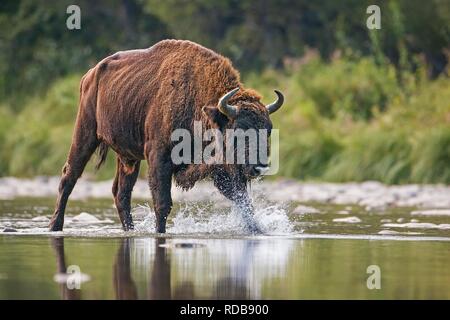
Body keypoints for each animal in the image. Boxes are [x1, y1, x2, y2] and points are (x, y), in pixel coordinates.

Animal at [49, 40, 284, 234]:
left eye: (268, 130)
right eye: (238, 130)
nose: (260, 167)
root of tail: (90, 75)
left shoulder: (222, 168)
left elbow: (243, 202)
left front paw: (258, 230)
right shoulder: (159, 159)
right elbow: (163, 203)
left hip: (128, 157)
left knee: (121, 193)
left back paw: (130, 230)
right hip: (85, 133)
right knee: (69, 177)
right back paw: (55, 226)